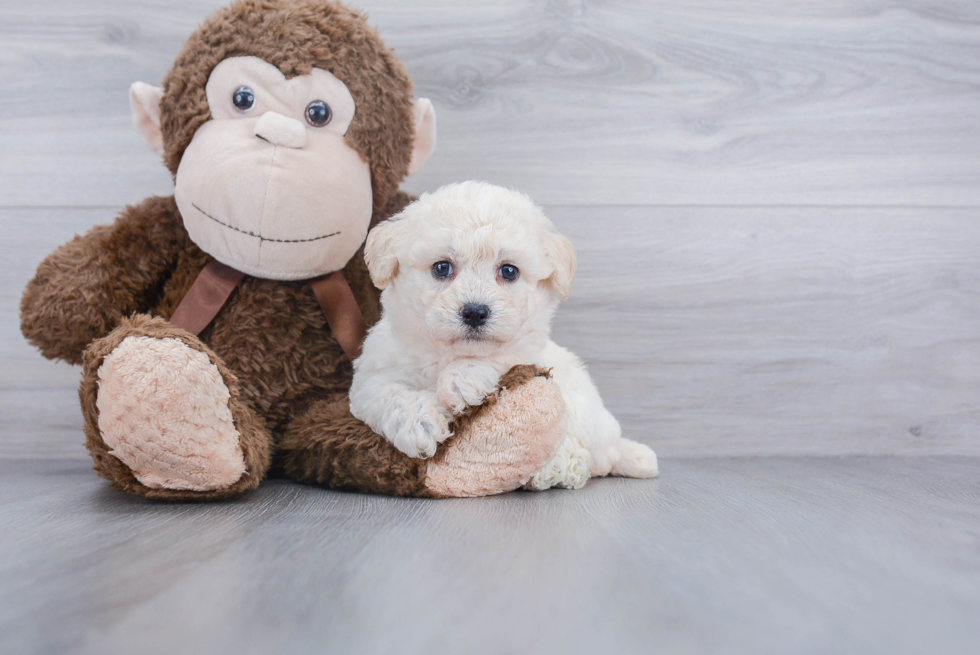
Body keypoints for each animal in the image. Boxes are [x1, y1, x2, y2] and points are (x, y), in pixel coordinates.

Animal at [348, 182, 656, 490]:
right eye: (441, 268)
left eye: (509, 271)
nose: (475, 312)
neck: (449, 353)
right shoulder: (373, 375)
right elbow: (388, 394)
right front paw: (419, 424)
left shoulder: (528, 350)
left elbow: (503, 356)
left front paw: (461, 379)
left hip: (581, 406)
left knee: (586, 454)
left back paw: (557, 468)